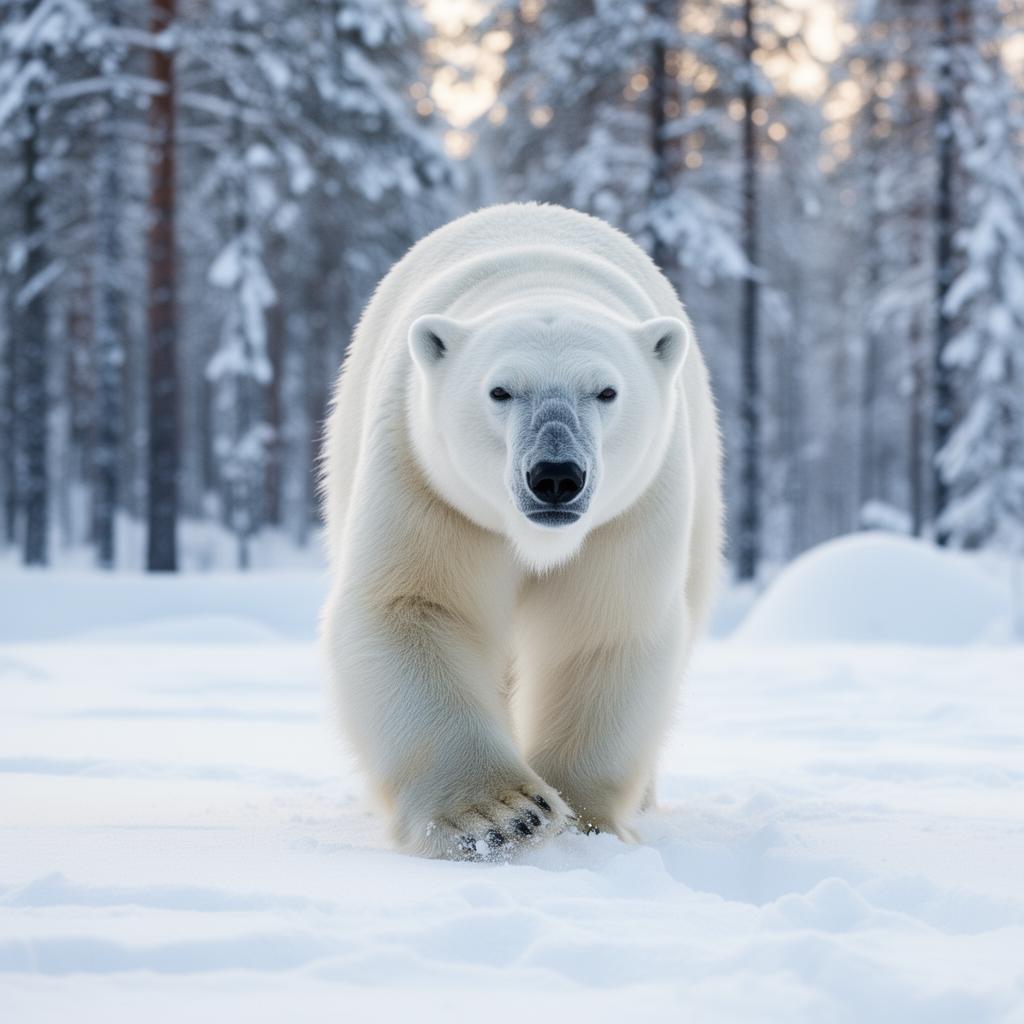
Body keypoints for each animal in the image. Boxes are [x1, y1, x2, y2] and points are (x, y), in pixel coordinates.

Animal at [321, 202, 722, 859]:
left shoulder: (632, 512)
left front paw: (585, 819)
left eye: (606, 390)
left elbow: (604, 629)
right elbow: (412, 604)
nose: (555, 476)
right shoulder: (427, 481)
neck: (541, 274)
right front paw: (502, 817)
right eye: (500, 390)